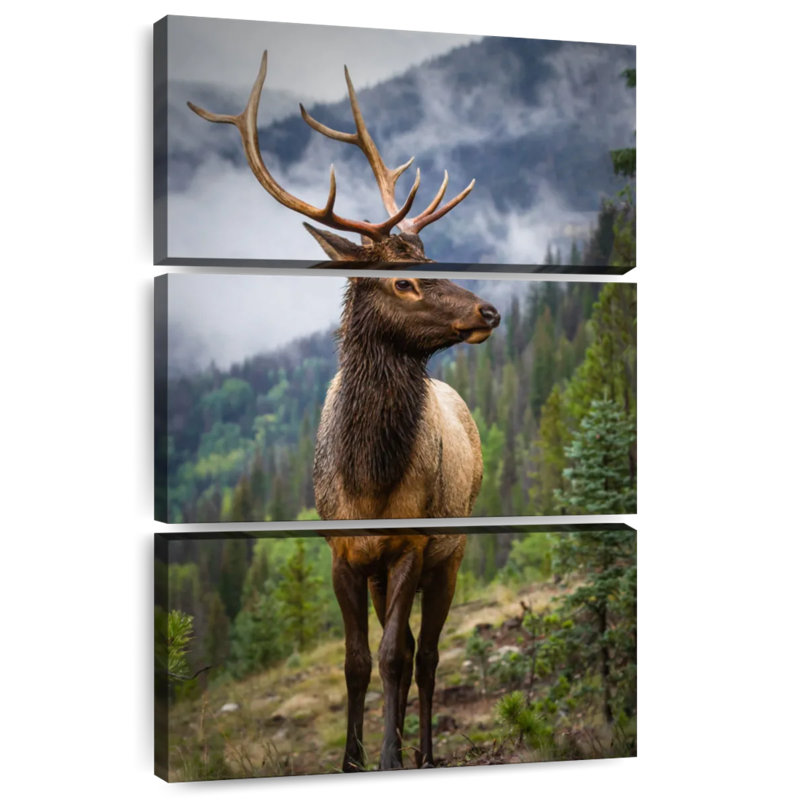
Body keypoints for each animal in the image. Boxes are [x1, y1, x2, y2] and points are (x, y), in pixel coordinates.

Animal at [190, 51, 499, 772]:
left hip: (452, 549)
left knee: (426, 654)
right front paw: (353, 759)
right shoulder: (342, 552)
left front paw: (387, 758)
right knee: (409, 647)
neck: (369, 479)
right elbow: (358, 661)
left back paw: (423, 754)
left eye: (429, 258)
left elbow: (391, 658)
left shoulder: (413, 542)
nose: (489, 310)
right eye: (404, 278)